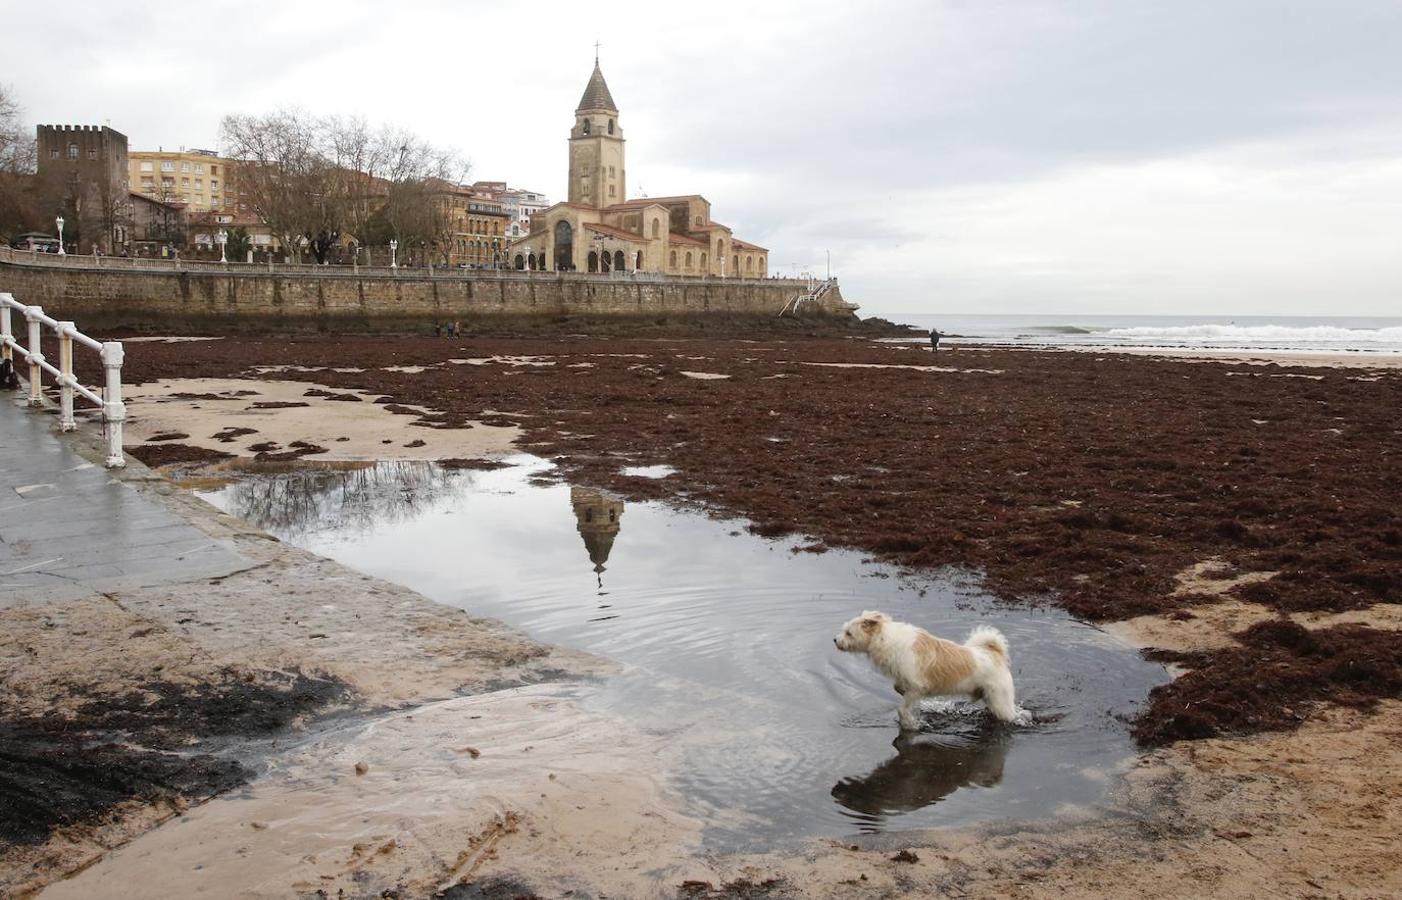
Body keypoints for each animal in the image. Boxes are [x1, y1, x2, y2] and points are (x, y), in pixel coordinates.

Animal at [829, 605, 1020, 723]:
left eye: (848, 633)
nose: (835, 640)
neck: (884, 638)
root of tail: (996, 653)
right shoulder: (905, 681)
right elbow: (897, 687)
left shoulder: (917, 687)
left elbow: (902, 709)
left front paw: (909, 723)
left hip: (1000, 702)